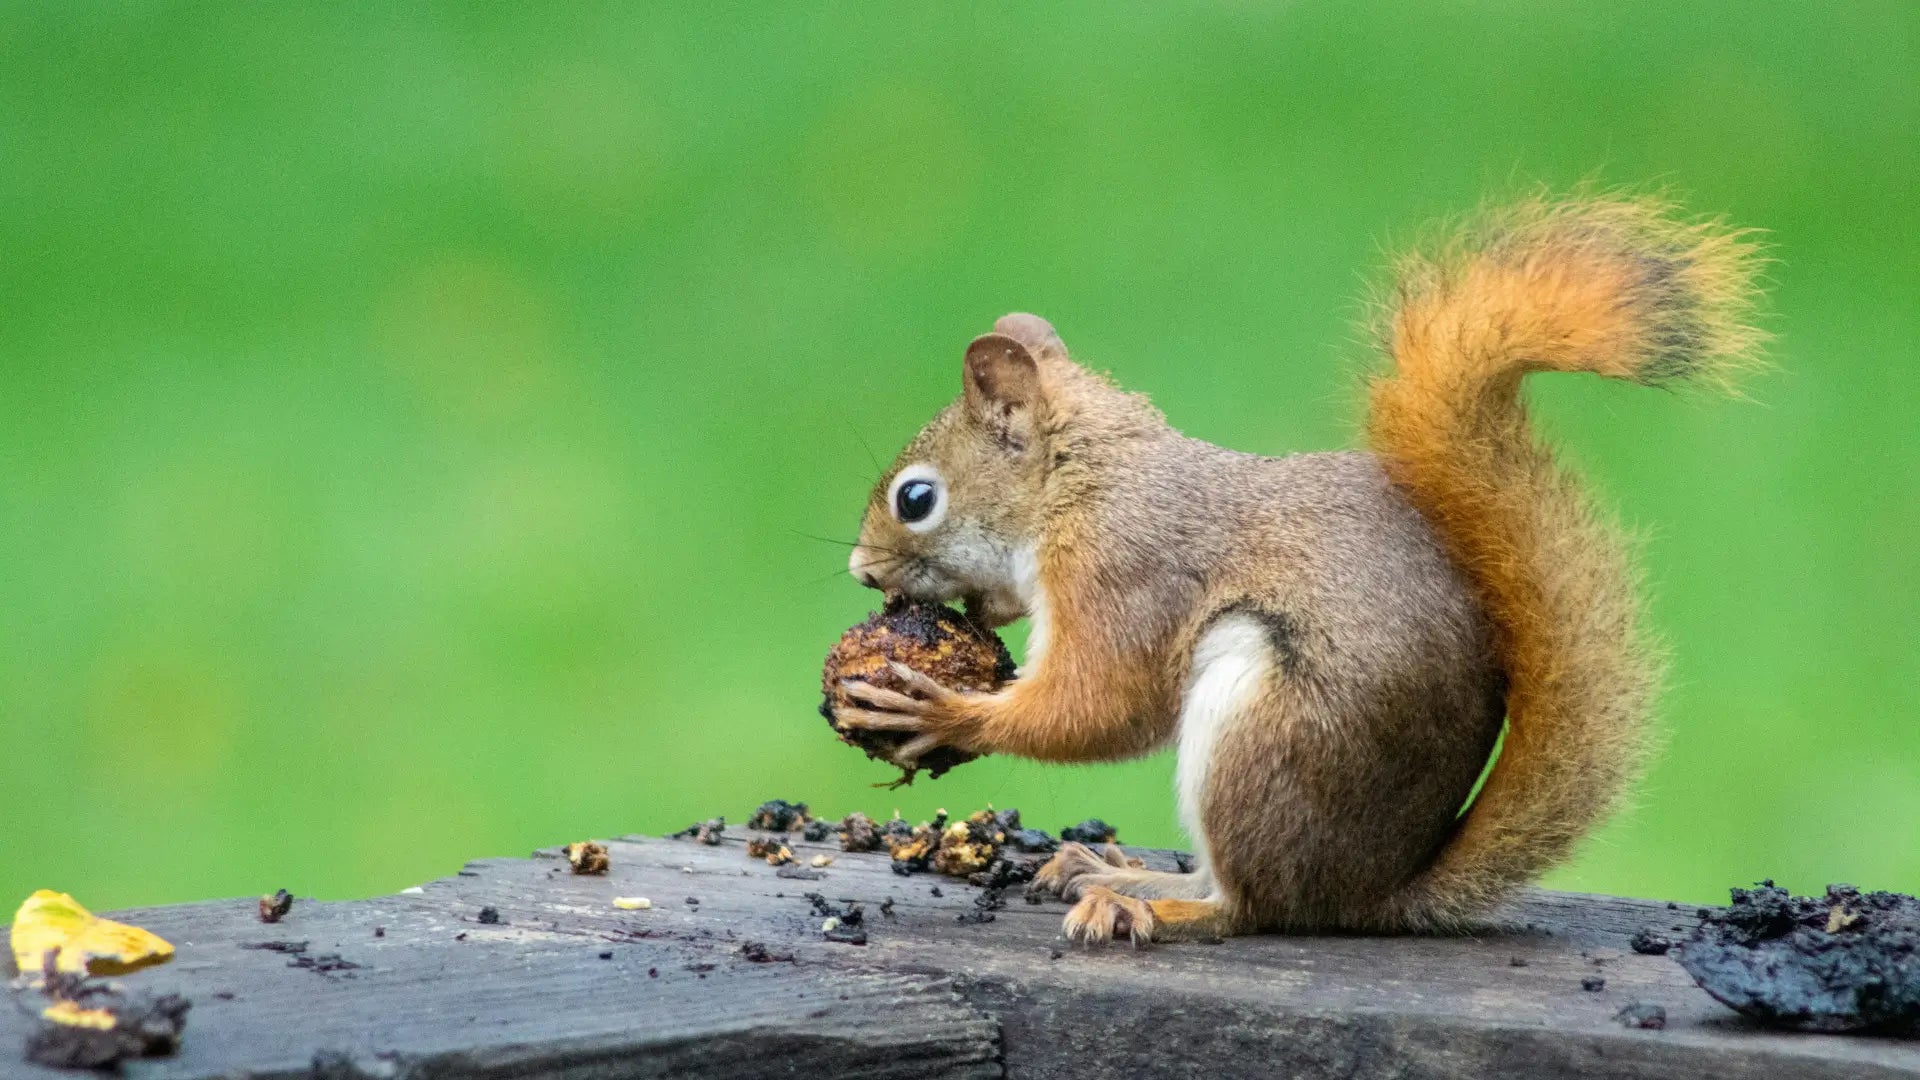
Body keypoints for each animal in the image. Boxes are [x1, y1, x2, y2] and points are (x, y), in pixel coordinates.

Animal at [834, 194, 1763, 944]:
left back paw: (1148, 904)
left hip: (1261, 729)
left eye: (916, 499)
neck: (1084, 483)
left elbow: (1102, 706)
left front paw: (944, 710)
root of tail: (1370, 893)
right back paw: (1112, 870)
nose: (860, 571)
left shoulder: (1125, 572)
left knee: (1249, 907)